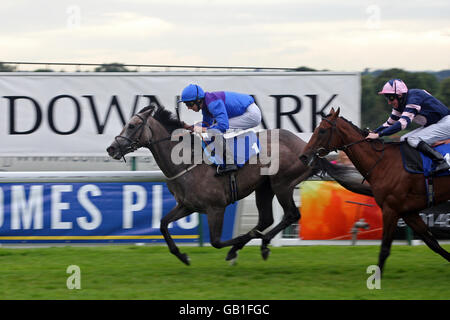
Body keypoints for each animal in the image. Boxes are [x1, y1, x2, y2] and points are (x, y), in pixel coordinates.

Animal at [107, 105, 314, 264]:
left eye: (132, 125)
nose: (111, 148)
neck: (187, 163)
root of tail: (303, 145)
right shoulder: (187, 205)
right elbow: (163, 224)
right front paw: (183, 256)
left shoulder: (216, 208)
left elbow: (216, 242)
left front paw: (238, 246)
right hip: (265, 187)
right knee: (266, 219)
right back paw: (259, 243)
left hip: (282, 184)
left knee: (292, 214)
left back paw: (261, 242)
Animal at [298, 107, 450, 272]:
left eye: (322, 130)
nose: (303, 156)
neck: (383, 162)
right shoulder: (407, 212)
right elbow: (432, 242)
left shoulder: (391, 209)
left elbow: (384, 248)